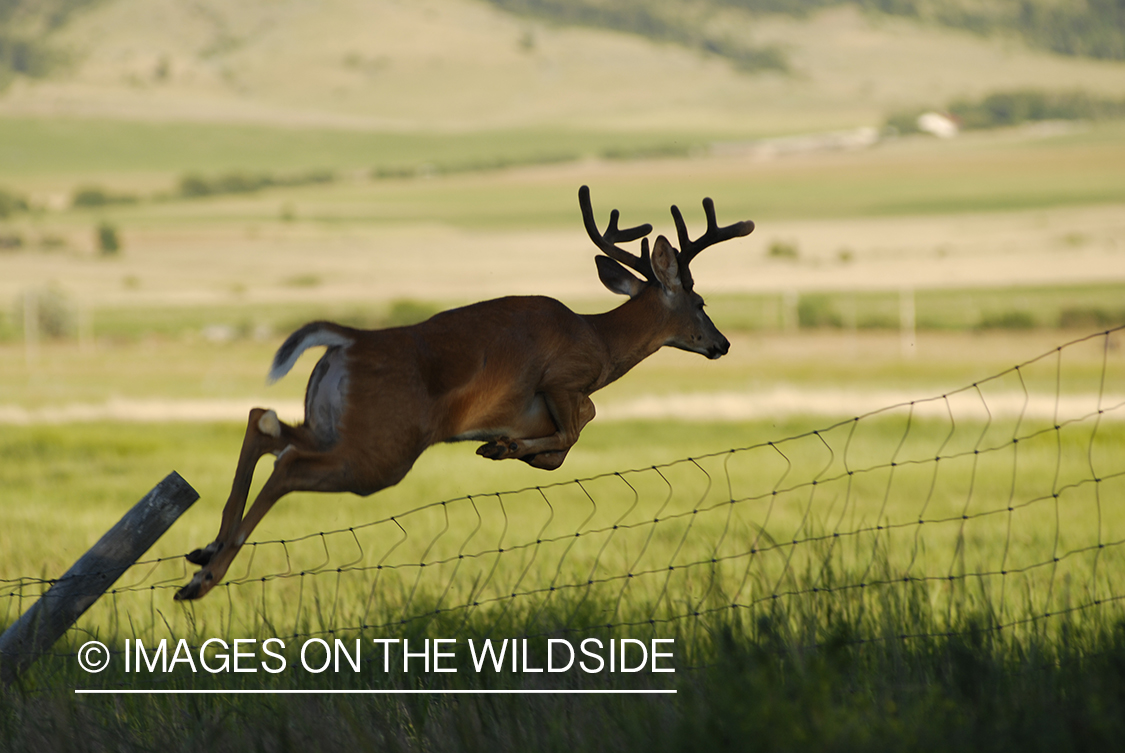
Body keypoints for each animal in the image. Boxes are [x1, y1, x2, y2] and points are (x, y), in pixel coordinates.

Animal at [175, 186, 751, 598]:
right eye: (700, 301)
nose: (722, 344)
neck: (599, 340)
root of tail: (351, 340)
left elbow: (566, 441)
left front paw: (506, 447)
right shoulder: (562, 378)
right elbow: (577, 425)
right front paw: (507, 447)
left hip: (333, 423)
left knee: (262, 422)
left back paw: (205, 551)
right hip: (383, 449)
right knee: (288, 463)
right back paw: (203, 580)